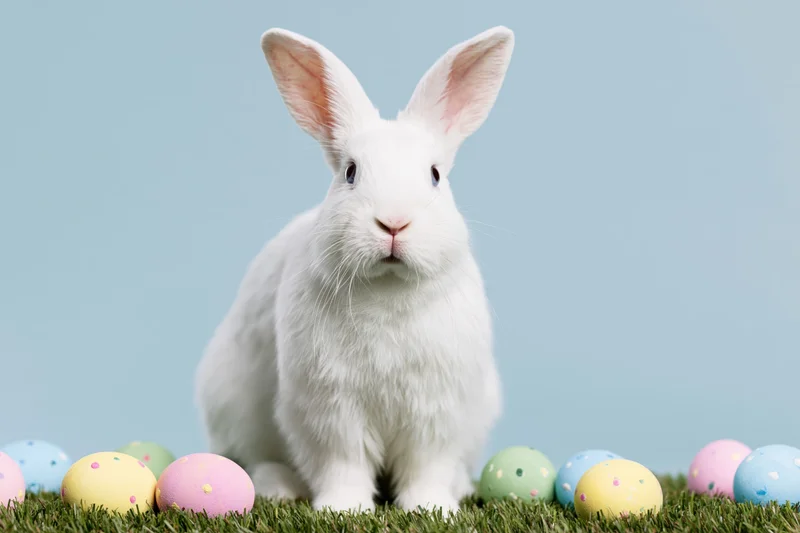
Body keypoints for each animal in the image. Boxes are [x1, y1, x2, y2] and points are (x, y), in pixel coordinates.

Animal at [194, 25, 515, 515]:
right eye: (350, 172)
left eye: (435, 175)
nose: (393, 223)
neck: (389, 290)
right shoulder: (329, 407)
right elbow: (342, 463)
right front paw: (342, 509)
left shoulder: (437, 409)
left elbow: (426, 467)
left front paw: (430, 508)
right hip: (230, 402)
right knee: (253, 459)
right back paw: (278, 487)